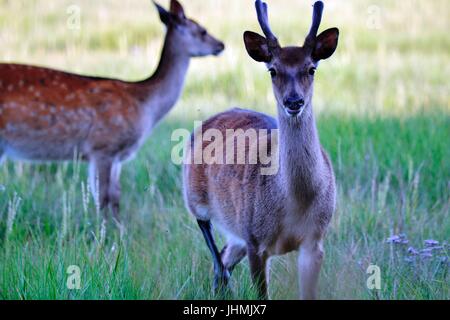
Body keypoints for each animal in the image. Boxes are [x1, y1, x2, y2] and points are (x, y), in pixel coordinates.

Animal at [0, 0, 225, 220]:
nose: (221, 45)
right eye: (202, 30)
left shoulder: (116, 156)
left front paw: (118, 228)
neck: (145, 104)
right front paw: (104, 229)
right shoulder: (103, 147)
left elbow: (115, 197)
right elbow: (104, 198)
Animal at [183, 0, 338, 300]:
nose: (294, 101)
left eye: (311, 68)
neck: (295, 201)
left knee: (224, 257)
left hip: (237, 231)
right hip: (195, 195)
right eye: (273, 70)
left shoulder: (316, 239)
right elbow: (261, 294)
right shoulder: (256, 239)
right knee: (217, 259)